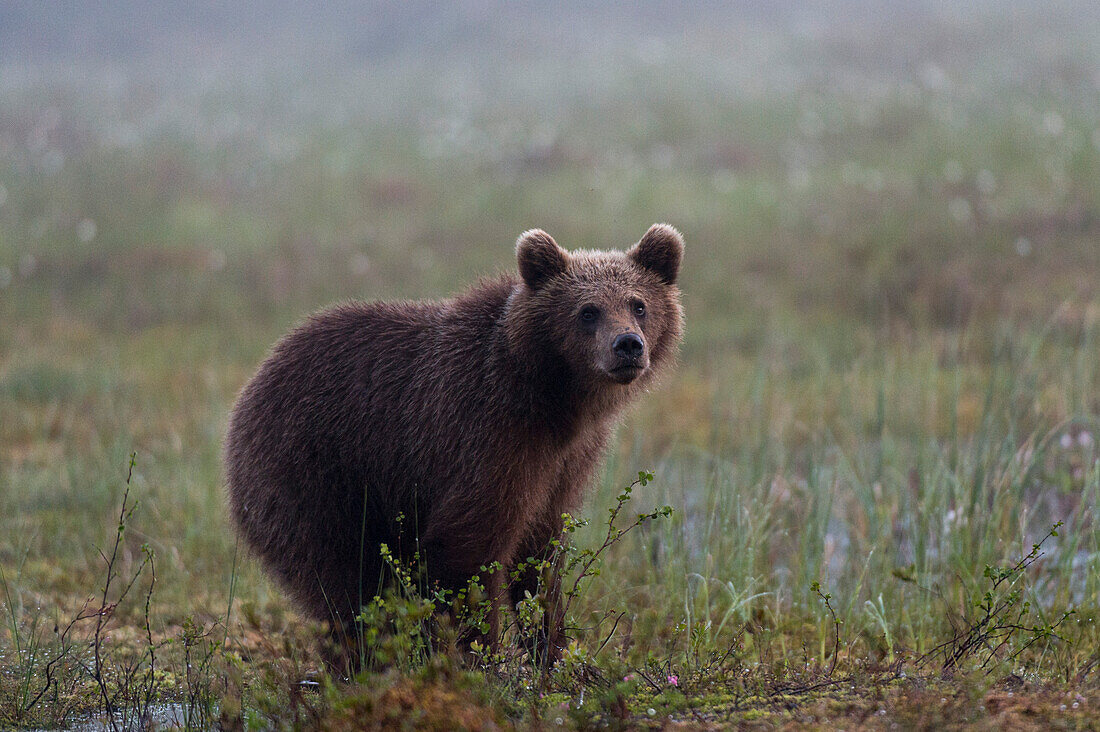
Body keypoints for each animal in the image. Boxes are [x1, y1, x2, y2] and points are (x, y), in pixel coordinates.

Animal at [222, 221, 682, 656]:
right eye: (588, 311)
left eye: (639, 304)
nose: (628, 345)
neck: (554, 396)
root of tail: (250, 389)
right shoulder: (486, 435)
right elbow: (469, 552)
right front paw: (481, 657)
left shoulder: (568, 461)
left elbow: (542, 558)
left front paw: (550, 652)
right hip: (316, 474)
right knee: (346, 584)